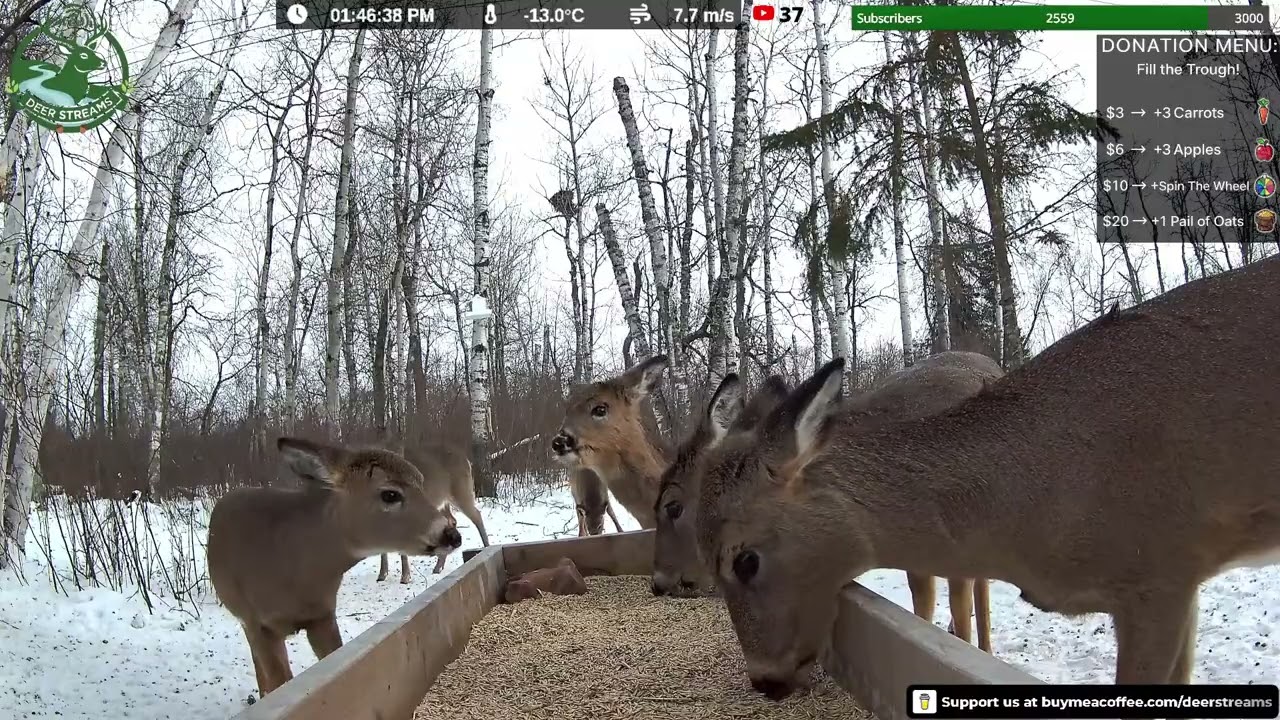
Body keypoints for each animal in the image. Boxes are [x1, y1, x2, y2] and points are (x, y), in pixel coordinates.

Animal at [207, 436, 463, 698]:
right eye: (390, 494)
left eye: (421, 482)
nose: (452, 535)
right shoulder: (260, 624)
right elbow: (280, 680)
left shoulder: (323, 615)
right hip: (244, 617)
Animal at [376, 440, 492, 584]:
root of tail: (465, 459)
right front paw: (382, 574)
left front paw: (405, 577)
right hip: (442, 501)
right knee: (451, 521)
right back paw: (438, 567)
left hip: (461, 490)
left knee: (476, 515)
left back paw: (487, 547)